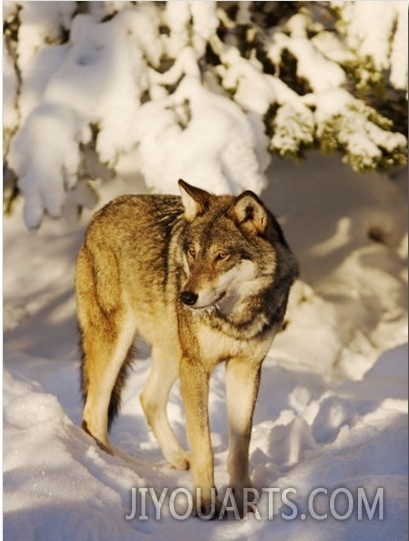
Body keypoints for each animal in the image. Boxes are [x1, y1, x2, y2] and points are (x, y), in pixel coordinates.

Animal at [76, 180, 298, 516]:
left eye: (221, 256)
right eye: (192, 253)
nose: (186, 297)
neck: (234, 319)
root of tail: (98, 215)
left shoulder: (245, 368)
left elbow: (240, 447)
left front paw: (243, 503)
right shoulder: (196, 368)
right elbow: (204, 445)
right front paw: (206, 505)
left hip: (171, 352)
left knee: (148, 399)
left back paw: (178, 458)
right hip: (116, 345)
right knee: (94, 413)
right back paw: (109, 469)